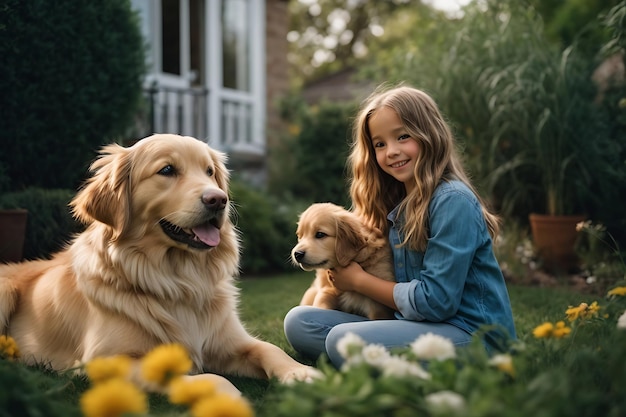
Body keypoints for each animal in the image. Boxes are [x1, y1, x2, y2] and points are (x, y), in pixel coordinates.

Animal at [0, 134, 320, 396]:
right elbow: (201, 376)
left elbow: (270, 349)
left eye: (210, 172)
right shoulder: (105, 361)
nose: (219, 200)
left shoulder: (229, 342)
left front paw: (300, 373)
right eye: (167, 170)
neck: (178, 281)